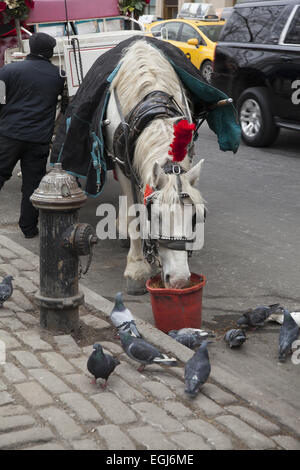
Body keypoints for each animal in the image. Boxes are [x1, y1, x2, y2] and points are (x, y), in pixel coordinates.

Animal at [104, 39, 205, 294]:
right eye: (156, 217)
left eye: (194, 217)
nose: (178, 280)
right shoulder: (124, 167)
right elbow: (135, 212)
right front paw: (136, 268)